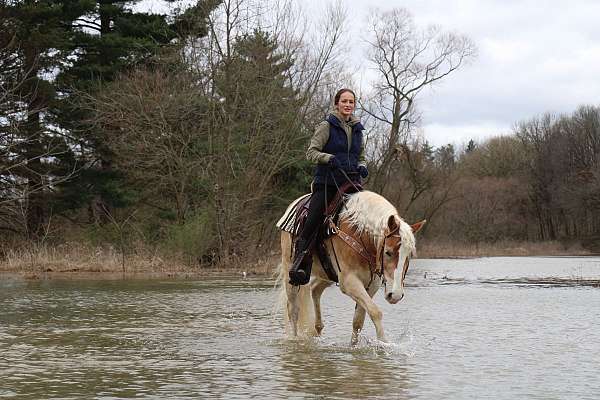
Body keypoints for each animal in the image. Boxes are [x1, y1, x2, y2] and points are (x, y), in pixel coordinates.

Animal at [276, 190, 422, 344]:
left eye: (410, 254)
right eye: (388, 252)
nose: (396, 295)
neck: (359, 235)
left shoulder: (371, 285)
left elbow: (358, 321)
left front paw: (354, 345)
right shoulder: (349, 281)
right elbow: (375, 312)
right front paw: (383, 342)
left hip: (328, 274)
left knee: (314, 289)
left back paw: (318, 329)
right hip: (290, 272)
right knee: (293, 310)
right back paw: (294, 338)